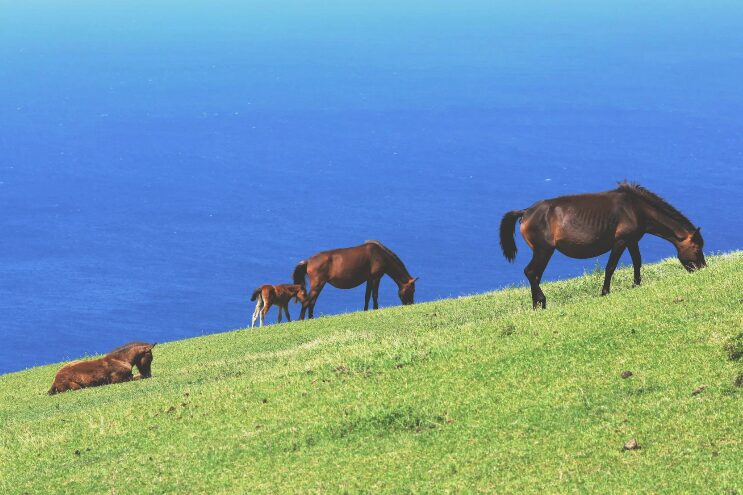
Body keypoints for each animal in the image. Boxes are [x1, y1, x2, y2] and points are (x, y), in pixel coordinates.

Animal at [502, 182, 708, 308]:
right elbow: (610, 267)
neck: (636, 207)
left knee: (535, 275)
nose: (703, 268)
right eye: (697, 249)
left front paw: (636, 284)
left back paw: (537, 305)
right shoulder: (621, 241)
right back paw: (541, 301)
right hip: (544, 250)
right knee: (531, 272)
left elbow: (637, 262)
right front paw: (605, 292)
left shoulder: (632, 240)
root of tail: (526, 212)